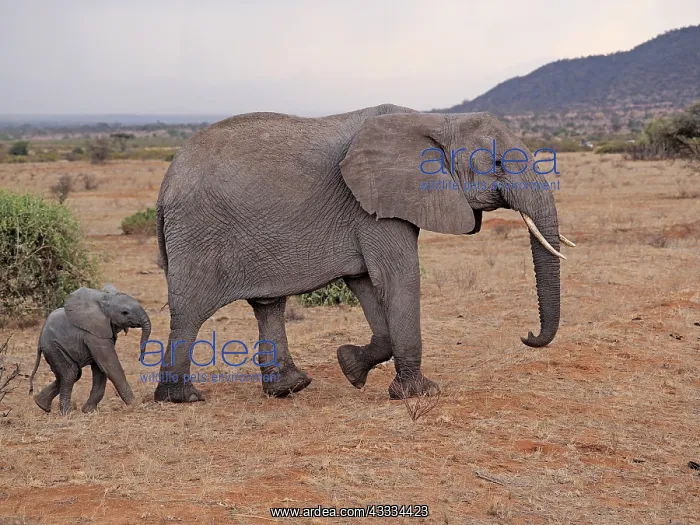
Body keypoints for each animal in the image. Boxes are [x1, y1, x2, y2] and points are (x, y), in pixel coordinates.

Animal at [29, 284, 152, 415]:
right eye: (125, 312)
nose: (140, 357)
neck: (104, 299)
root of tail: (39, 340)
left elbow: (100, 368)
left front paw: (88, 411)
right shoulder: (93, 334)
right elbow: (109, 365)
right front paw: (135, 405)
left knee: (70, 374)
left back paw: (40, 404)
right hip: (53, 347)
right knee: (70, 374)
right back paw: (66, 414)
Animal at [152, 104, 574, 403]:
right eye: (498, 165)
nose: (528, 335)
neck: (436, 121)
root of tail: (165, 182)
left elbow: (366, 283)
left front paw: (350, 366)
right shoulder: (374, 204)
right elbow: (399, 277)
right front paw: (419, 393)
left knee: (268, 304)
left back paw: (291, 387)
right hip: (197, 233)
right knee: (189, 312)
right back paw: (182, 398)